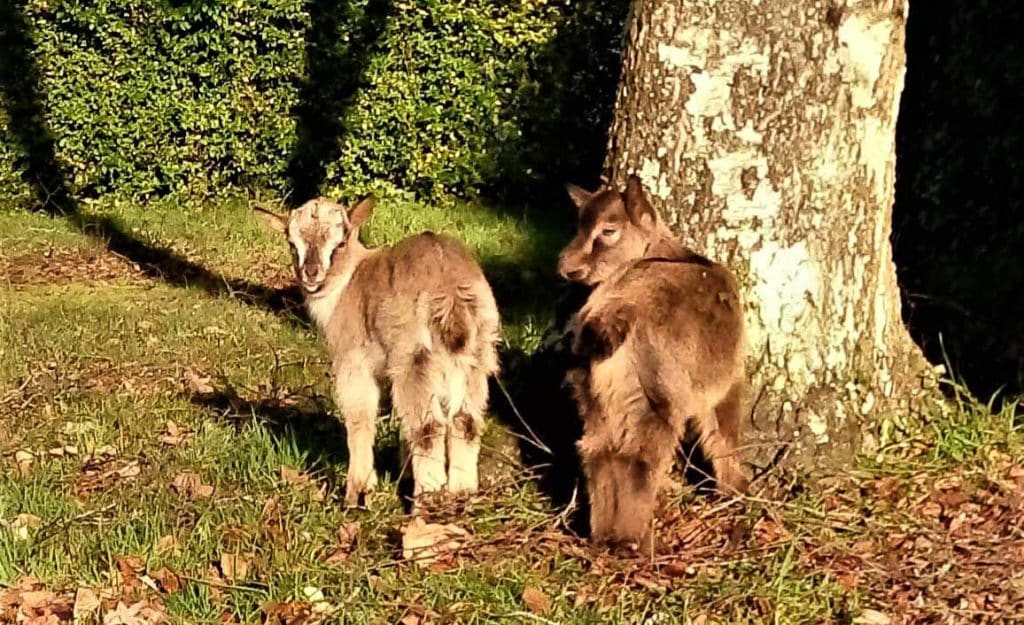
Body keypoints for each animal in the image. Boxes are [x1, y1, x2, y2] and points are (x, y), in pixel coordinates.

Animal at [258, 196, 501, 504]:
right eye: (292, 244)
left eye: (340, 243)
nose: (311, 275)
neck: (348, 284)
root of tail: (449, 291)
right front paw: (402, 474)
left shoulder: (353, 359)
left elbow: (359, 415)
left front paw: (357, 491)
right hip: (479, 350)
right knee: (465, 420)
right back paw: (463, 496)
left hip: (415, 356)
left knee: (428, 428)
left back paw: (427, 500)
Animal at [557, 175, 749, 549]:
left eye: (608, 230)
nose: (566, 267)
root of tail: (609, 317)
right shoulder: (727, 381)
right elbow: (724, 438)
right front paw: (737, 491)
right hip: (656, 396)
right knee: (639, 457)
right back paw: (635, 540)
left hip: (592, 393)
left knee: (596, 451)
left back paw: (605, 536)